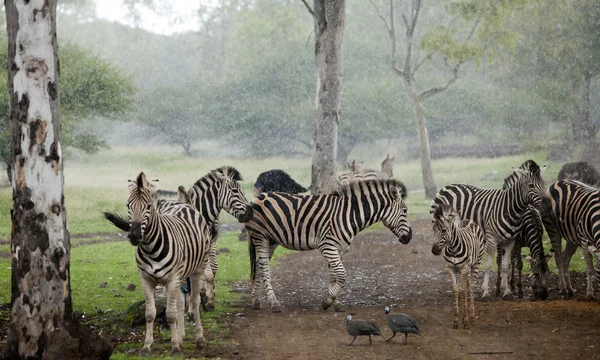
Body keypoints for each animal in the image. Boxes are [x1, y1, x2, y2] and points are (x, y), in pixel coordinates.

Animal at [125, 172, 212, 354]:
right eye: (128, 205)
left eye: (148, 207)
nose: (134, 235)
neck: (150, 248)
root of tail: (185, 203)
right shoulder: (146, 279)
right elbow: (150, 313)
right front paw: (147, 346)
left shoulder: (172, 279)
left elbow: (171, 314)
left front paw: (175, 347)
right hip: (180, 276)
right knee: (179, 303)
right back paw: (181, 337)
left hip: (198, 269)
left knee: (194, 302)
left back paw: (200, 339)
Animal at [245, 179, 412, 312]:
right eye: (405, 211)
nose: (409, 237)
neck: (349, 214)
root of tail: (257, 197)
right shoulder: (327, 245)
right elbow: (342, 274)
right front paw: (327, 302)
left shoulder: (338, 248)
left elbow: (335, 276)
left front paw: (335, 303)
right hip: (260, 236)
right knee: (264, 268)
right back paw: (274, 304)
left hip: (272, 240)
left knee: (259, 265)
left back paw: (255, 301)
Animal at [428, 160, 548, 298]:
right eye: (531, 185)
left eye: (544, 184)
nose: (546, 206)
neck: (510, 209)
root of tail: (446, 186)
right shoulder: (492, 239)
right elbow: (489, 266)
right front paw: (485, 292)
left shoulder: (510, 241)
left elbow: (505, 266)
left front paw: (507, 291)